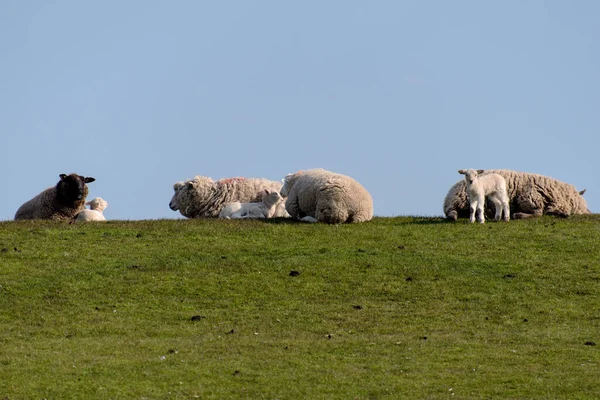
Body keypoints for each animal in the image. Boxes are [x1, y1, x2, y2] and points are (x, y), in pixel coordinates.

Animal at [446, 168, 592, 220]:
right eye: (580, 206)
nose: (589, 213)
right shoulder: (529, 198)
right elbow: (538, 213)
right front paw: (519, 215)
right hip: (458, 200)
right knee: (451, 211)